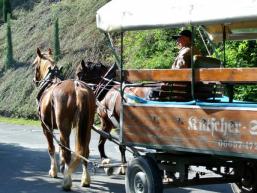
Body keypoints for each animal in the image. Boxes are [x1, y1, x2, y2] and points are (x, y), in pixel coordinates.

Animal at [32, 48, 95, 190]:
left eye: (35, 65)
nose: (34, 80)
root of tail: (77, 87)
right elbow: (61, 146)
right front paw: (62, 167)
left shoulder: (46, 127)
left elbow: (52, 148)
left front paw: (54, 171)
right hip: (86, 127)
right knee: (85, 151)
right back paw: (85, 179)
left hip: (64, 127)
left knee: (67, 152)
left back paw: (67, 181)